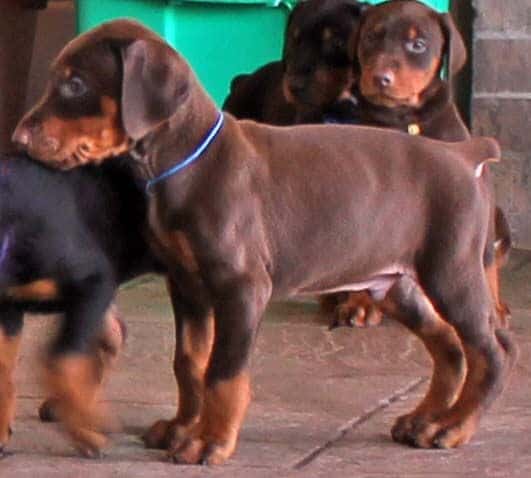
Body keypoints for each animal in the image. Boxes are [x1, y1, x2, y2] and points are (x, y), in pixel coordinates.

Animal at [0, 151, 166, 458]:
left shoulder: (94, 282)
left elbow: (59, 360)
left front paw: (88, 433)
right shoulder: (9, 306)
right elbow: (5, 369)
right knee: (112, 335)